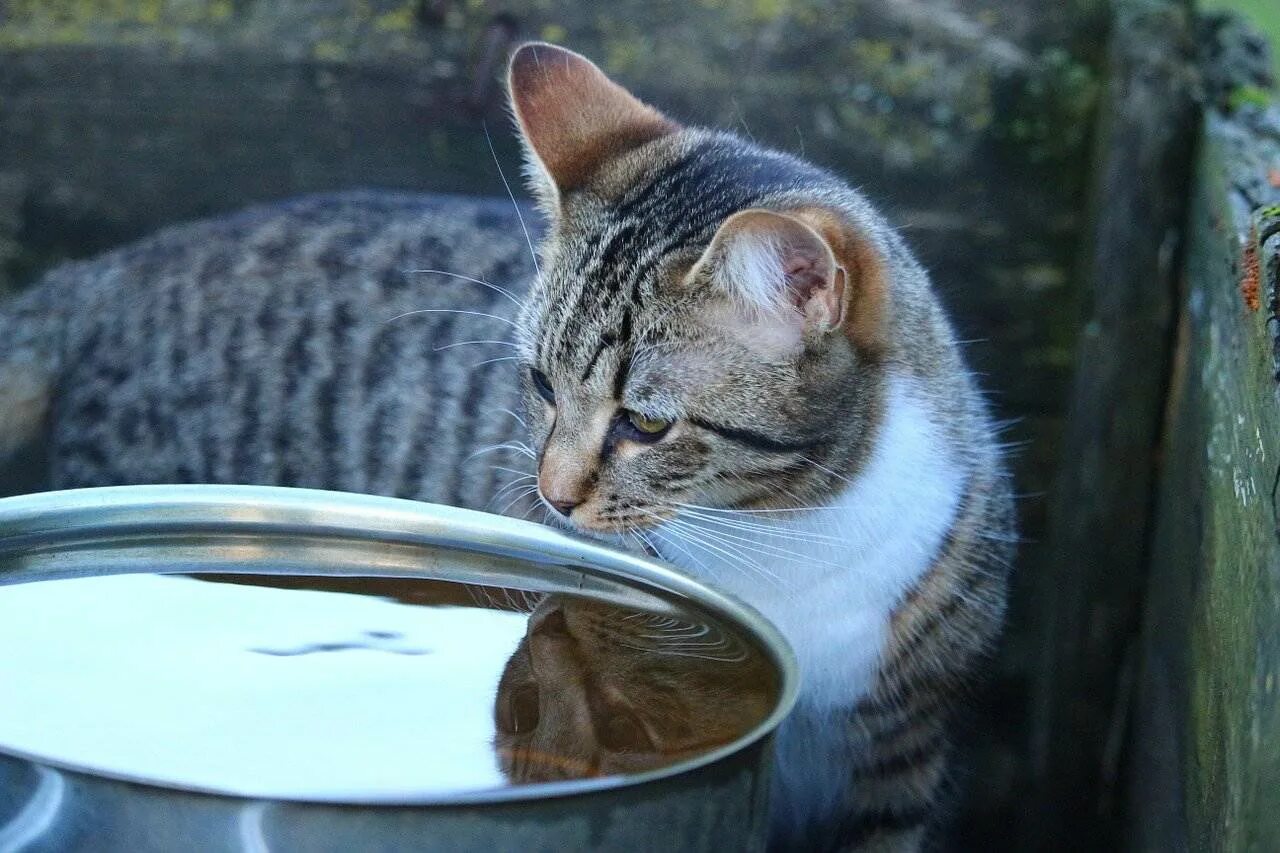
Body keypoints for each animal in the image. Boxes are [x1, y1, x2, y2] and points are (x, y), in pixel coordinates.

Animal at [0, 41, 1018, 850]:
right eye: (540, 386)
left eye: (648, 423)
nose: (554, 494)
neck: (785, 532)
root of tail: (110, 270)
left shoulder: (902, 754)